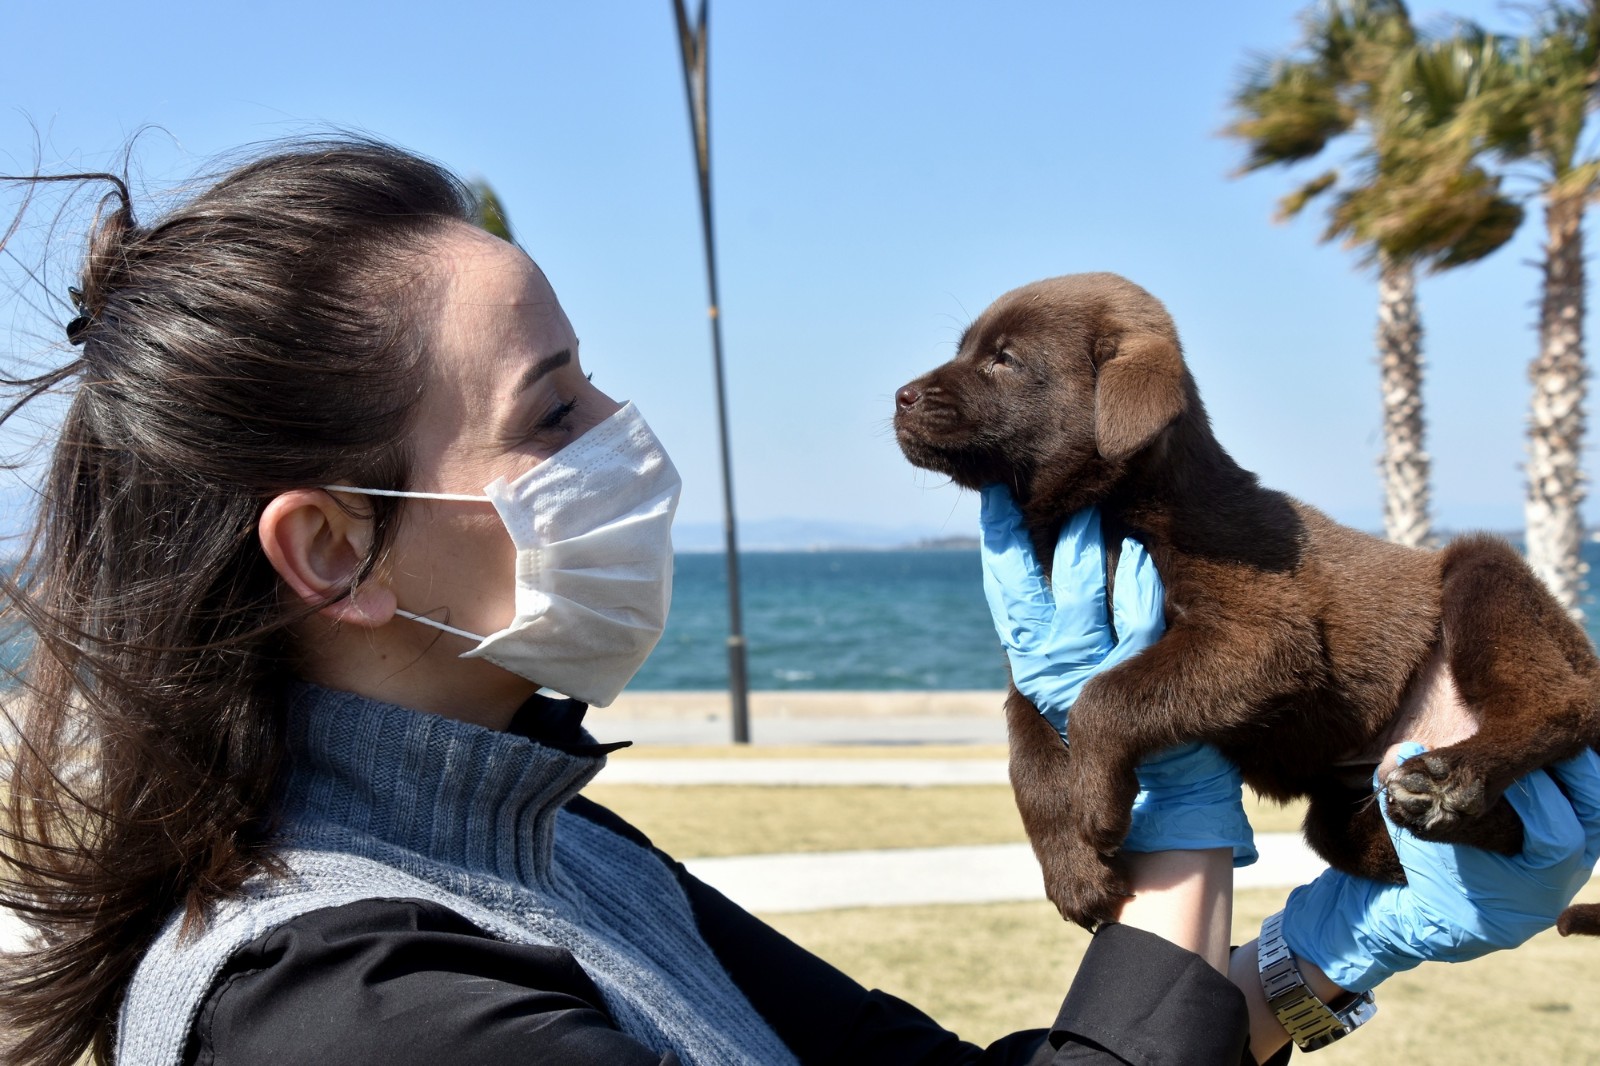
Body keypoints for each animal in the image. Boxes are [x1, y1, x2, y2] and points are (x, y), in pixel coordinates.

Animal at [896, 272, 1600, 928]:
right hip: (1343, 796)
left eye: (1004, 360)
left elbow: (1105, 697)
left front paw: (1095, 807)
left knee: (1562, 704)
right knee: (1365, 833)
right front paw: (1074, 870)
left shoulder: (1264, 635)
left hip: (1488, 578)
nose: (900, 397)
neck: (1121, 507)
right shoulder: (1032, 660)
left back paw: (1451, 780)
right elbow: (1028, 757)